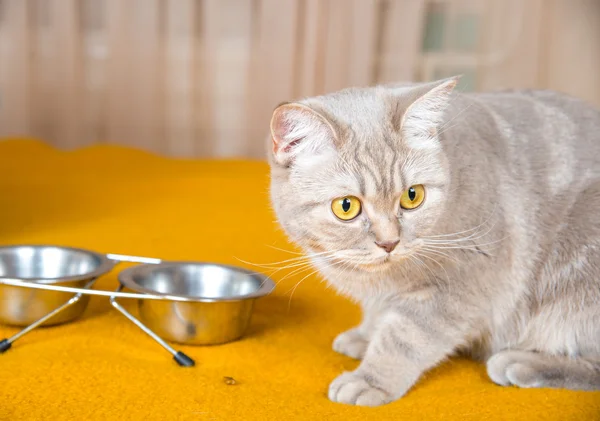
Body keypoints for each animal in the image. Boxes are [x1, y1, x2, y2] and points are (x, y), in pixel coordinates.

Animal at [266, 77, 600, 406]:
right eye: (346, 206)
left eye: (412, 196)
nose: (389, 242)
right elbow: (379, 316)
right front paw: (365, 335)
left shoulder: (457, 287)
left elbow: (403, 338)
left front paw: (370, 379)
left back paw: (520, 362)